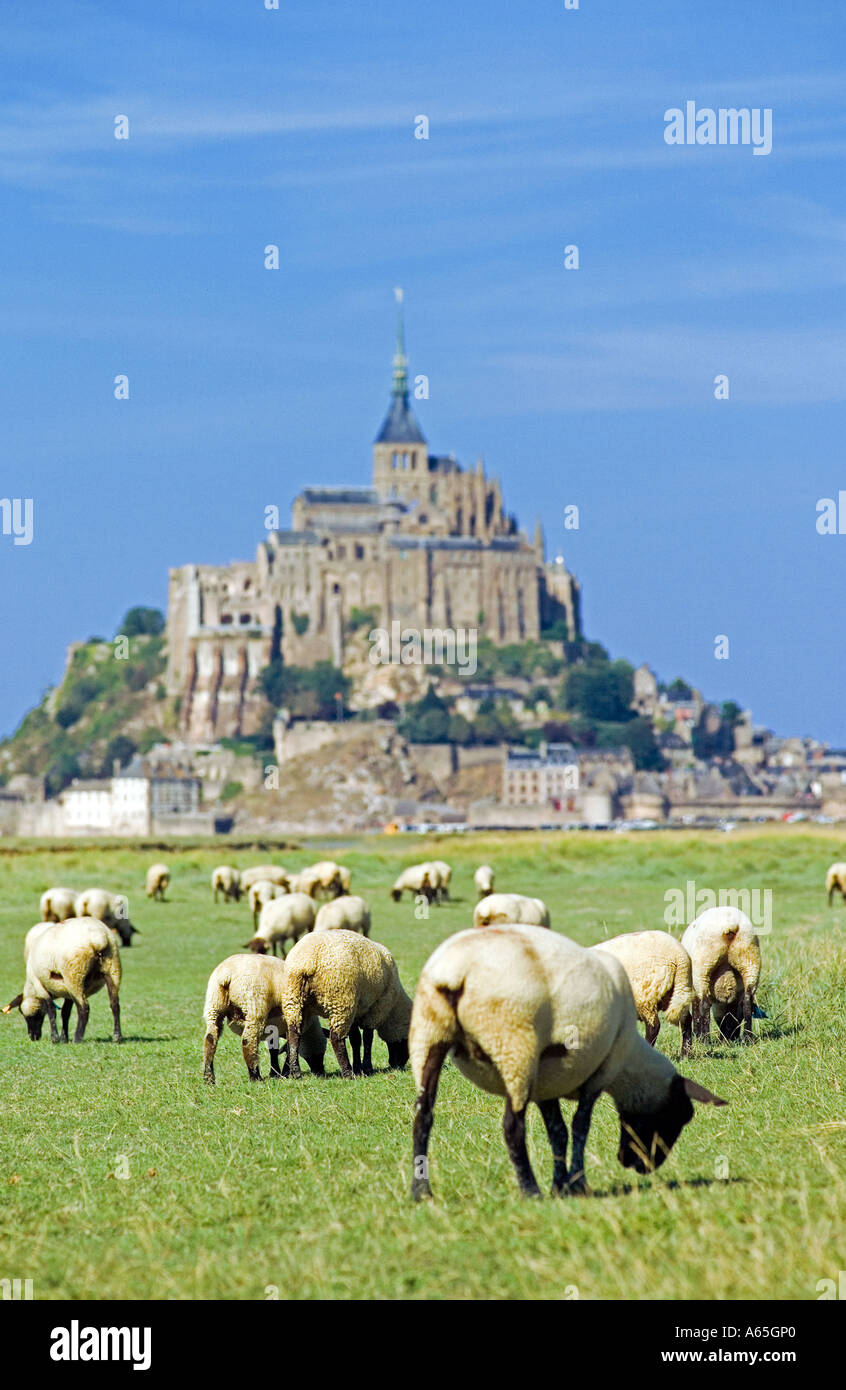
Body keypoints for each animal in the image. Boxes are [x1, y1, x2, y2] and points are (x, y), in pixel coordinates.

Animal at [203, 953, 326, 1083]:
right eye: (323, 1052)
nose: (320, 1072)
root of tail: (226, 975)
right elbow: (291, 1047)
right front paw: (286, 1072)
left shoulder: (274, 1029)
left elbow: (274, 1050)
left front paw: (275, 1074)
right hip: (254, 1007)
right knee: (248, 1040)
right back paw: (255, 1077)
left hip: (213, 1005)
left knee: (210, 1038)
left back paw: (209, 1077)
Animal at [283, 931, 412, 1080]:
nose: (398, 1064)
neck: (393, 1009)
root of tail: (307, 962)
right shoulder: (376, 1009)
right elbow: (368, 1038)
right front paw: (366, 1068)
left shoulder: (356, 1011)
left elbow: (356, 1040)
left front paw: (359, 1067)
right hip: (341, 1002)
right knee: (336, 1039)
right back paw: (348, 1073)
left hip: (293, 1000)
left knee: (293, 1035)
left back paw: (295, 1072)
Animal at [409, 924, 726, 1201]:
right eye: (677, 1116)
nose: (639, 1165)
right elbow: (576, 1127)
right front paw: (574, 1183)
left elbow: (563, 1131)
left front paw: (566, 1183)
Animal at [681, 906, 762, 1042]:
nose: (731, 1037)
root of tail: (730, 924)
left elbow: (696, 1009)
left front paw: (697, 1035)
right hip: (749, 961)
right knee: (747, 1001)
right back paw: (747, 1037)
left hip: (703, 968)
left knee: (705, 1004)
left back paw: (705, 1040)